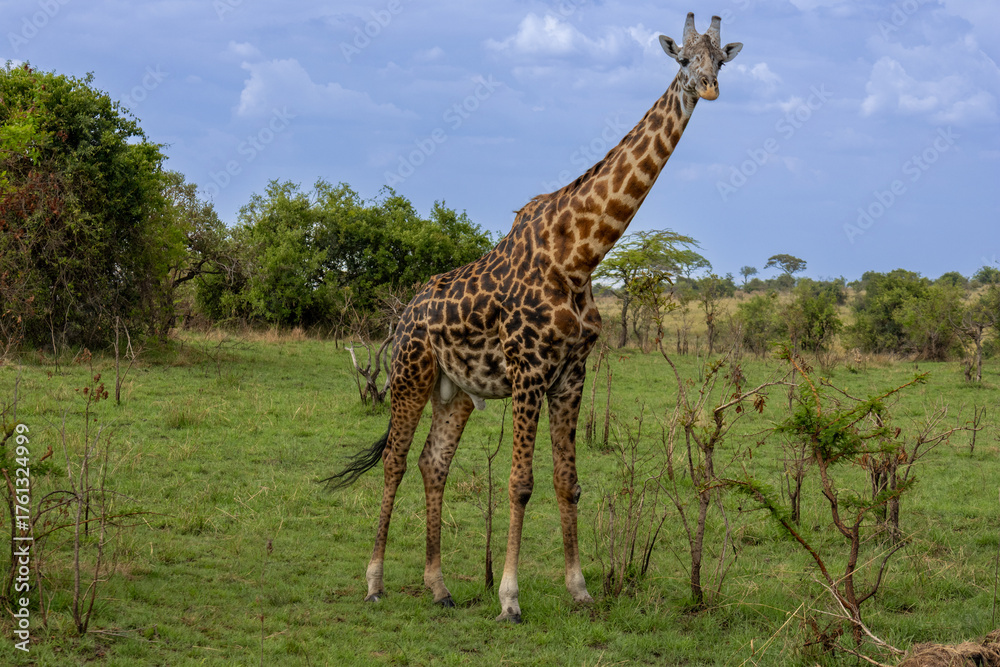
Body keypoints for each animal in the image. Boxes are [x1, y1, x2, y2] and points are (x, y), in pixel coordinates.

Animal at [326, 12, 742, 623]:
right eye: (684, 60)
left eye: (722, 61)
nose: (709, 89)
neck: (581, 252)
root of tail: (403, 317)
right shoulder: (528, 370)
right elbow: (520, 483)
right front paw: (510, 599)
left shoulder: (570, 374)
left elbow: (568, 481)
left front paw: (580, 590)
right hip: (409, 375)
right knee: (396, 461)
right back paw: (375, 582)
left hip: (456, 391)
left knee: (432, 463)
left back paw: (439, 587)